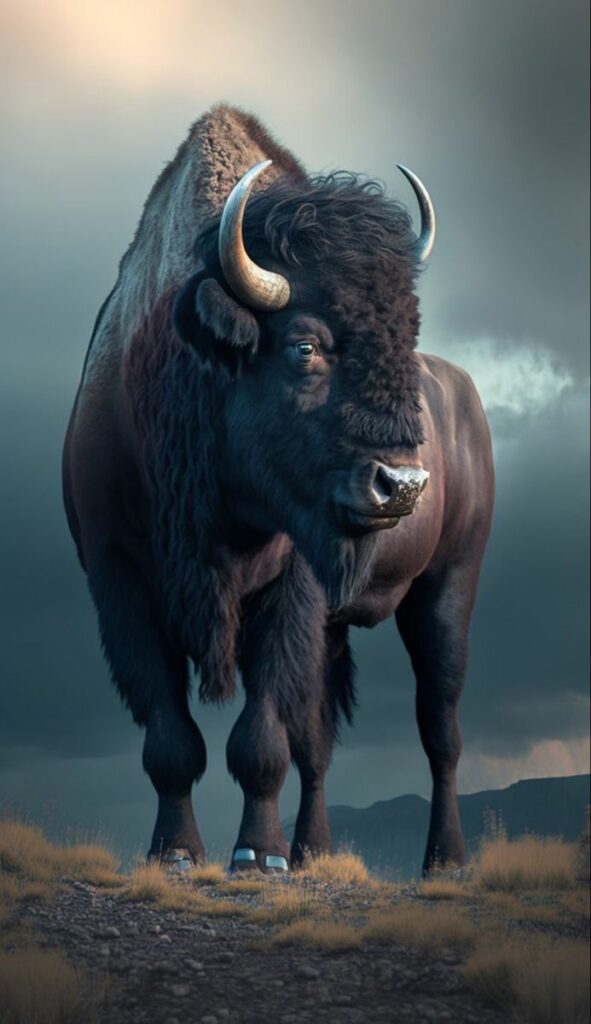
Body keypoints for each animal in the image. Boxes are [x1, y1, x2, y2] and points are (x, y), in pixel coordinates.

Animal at [63, 104, 493, 875]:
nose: (403, 484)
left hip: (448, 584)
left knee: (439, 728)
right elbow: (171, 736)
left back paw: (443, 860)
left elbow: (259, 736)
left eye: (406, 336)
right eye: (304, 346)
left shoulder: (291, 588)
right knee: (318, 744)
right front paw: (178, 854)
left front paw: (254, 856)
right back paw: (312, 853)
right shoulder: (119, 579)